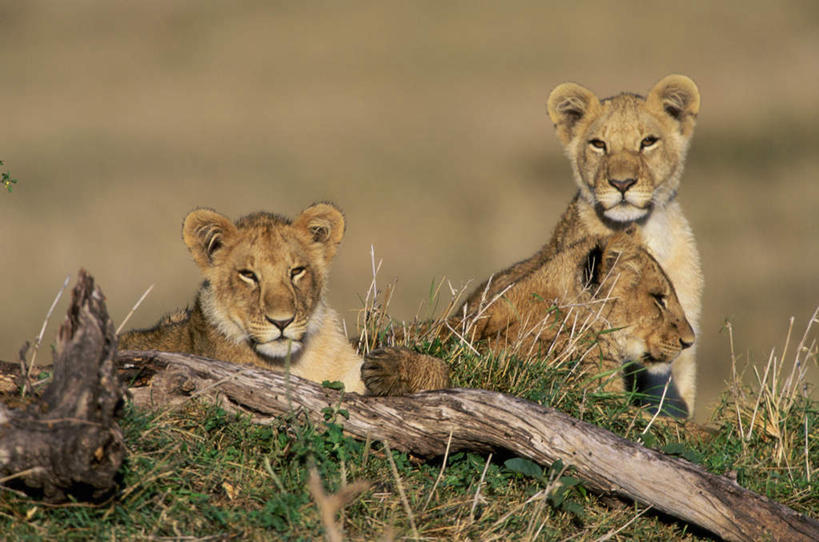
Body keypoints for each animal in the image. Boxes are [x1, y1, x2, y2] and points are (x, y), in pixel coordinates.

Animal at [120, 204, 448, 396]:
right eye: (248, 275)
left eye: (296, 271)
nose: (282, 322)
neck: (301, 360)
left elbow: (441, 370)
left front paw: (391, 367)